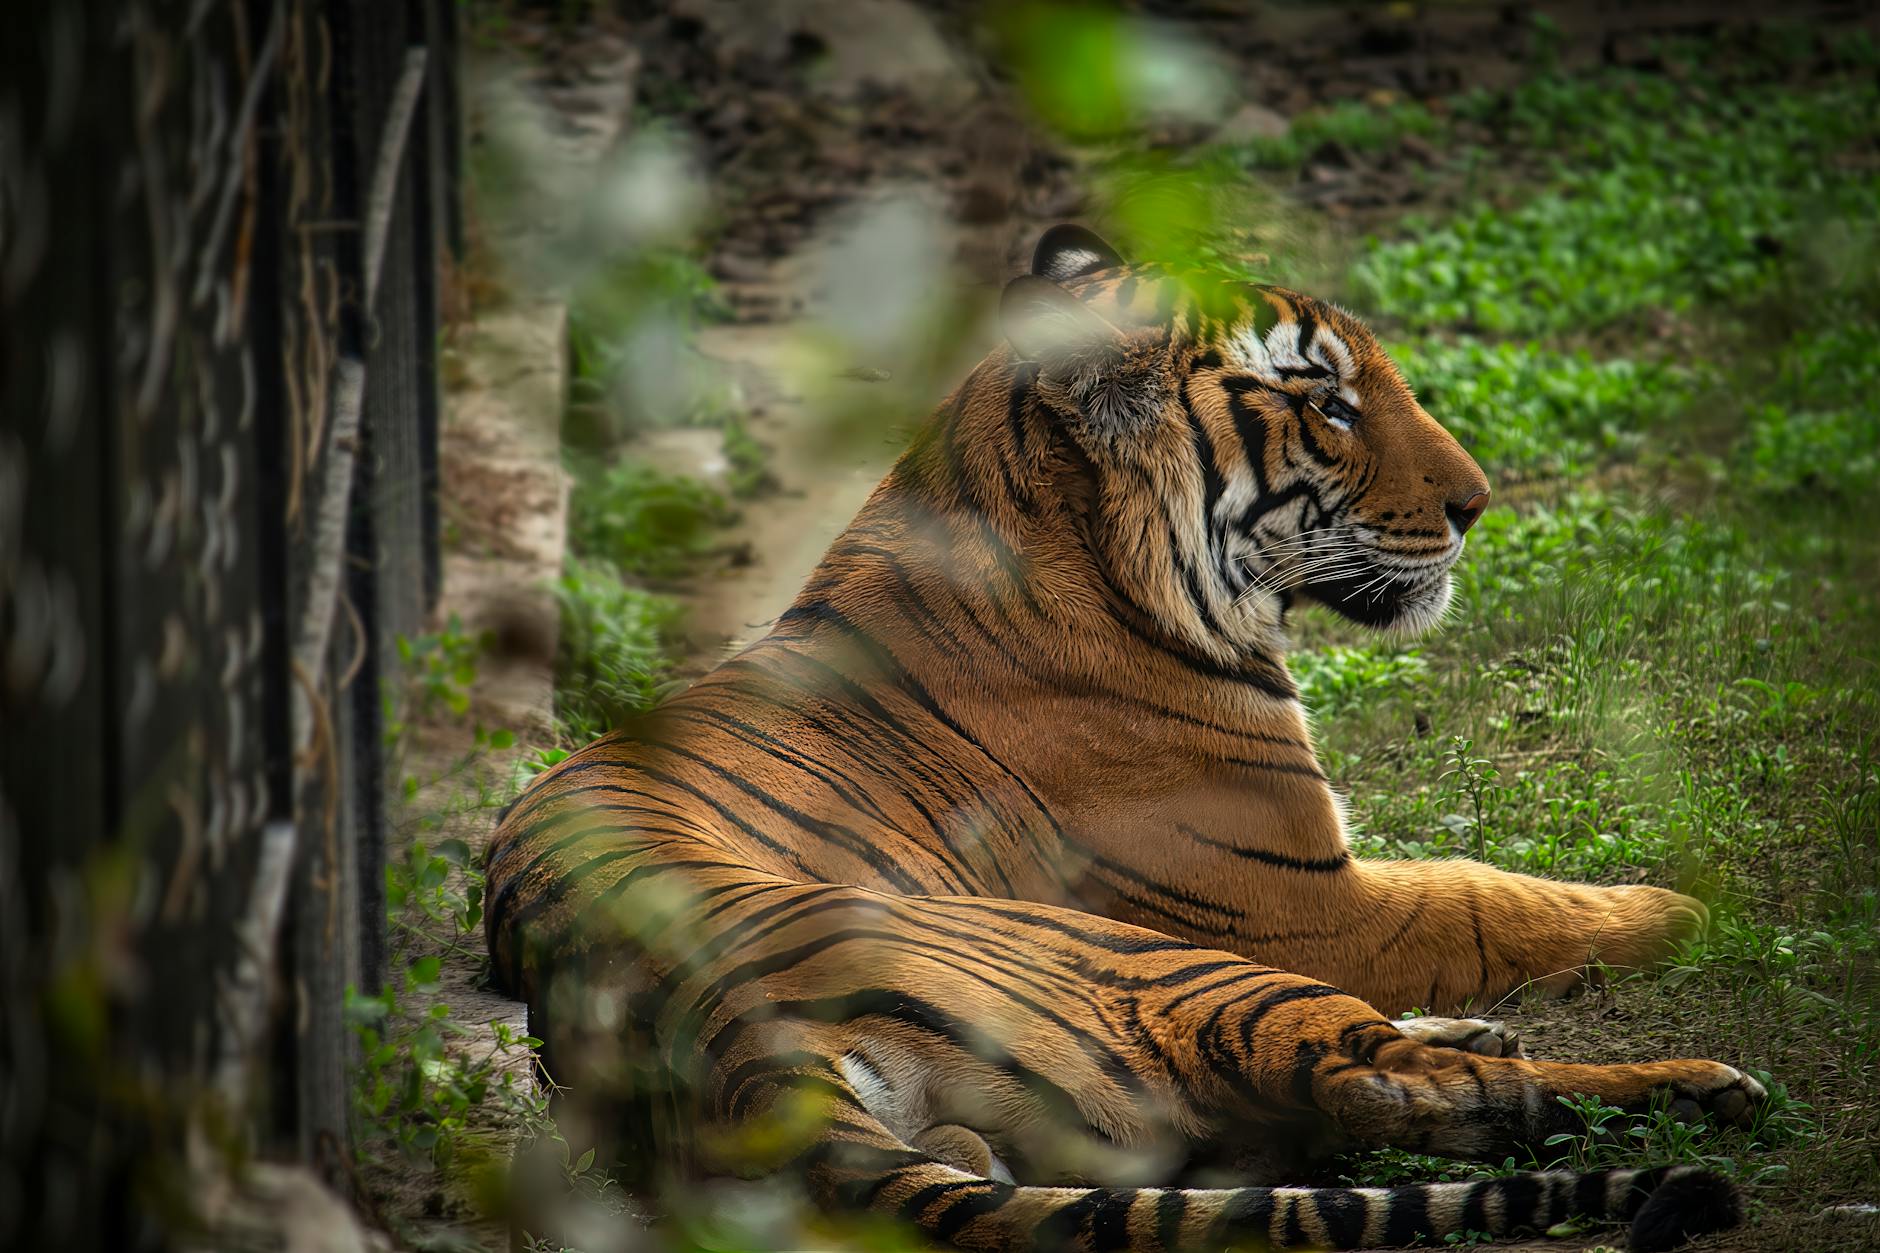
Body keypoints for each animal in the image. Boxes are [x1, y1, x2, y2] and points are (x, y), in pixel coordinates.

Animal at [485, 225, 1766, 1251]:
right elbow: (1491, 893)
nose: (1477, 503)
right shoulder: (1314, 903)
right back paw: (1701, 1083)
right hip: (1165, 967)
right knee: (1392, 1083)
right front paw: (1682, 905)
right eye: (1324, 401)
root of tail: (726, 1047)